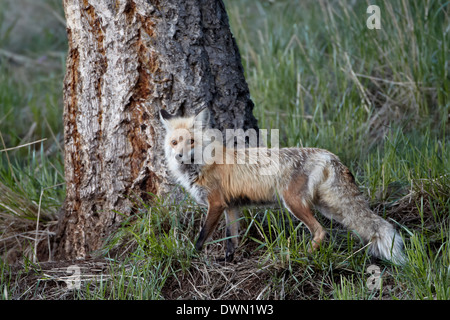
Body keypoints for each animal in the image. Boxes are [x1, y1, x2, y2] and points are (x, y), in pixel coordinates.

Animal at [160, 108, 406, 264]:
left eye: (191, 141)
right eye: (174, 142)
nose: (179, 156)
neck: (203, 164)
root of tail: (328, 155)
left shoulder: (216, 203)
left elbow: (202, 236)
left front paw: (190, 255)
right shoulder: (231, 206)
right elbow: (232, 239)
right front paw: (228, 260)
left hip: (293, 203)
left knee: (320, 231)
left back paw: (299, 255)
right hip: (330, 207)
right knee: (359, 224)